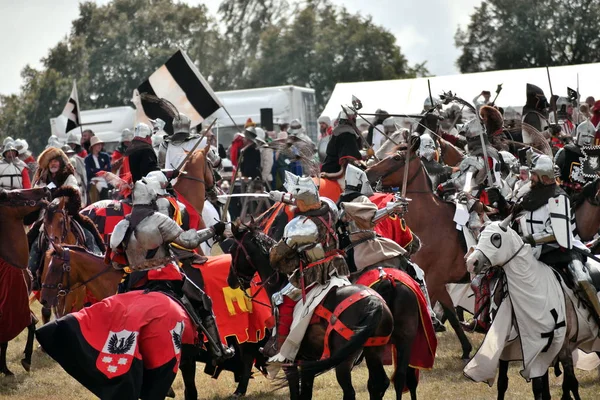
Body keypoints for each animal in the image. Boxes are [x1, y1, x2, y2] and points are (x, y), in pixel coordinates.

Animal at [227, 222, 396, 400]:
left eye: (232, 250)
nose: (231, 280)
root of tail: (375, 304)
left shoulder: (290, 362)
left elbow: (295, 391)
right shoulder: (308, 360)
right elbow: (306, 392)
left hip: (344, 360)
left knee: (350, 391)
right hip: (373, 351)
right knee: (379, 384)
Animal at [366, 148, 474, 360]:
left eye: (397, 158)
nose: (368, 172)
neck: (429, 220)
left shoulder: (433, 280)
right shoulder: (438, 283)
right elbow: (451, 315)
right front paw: (466, 349)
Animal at [464, 219, 600, 400]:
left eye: (496, 238)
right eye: (479, 237)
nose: (471, 262)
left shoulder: (559, 344)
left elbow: (568, 383)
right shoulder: (515, 348)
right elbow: (505, 383)